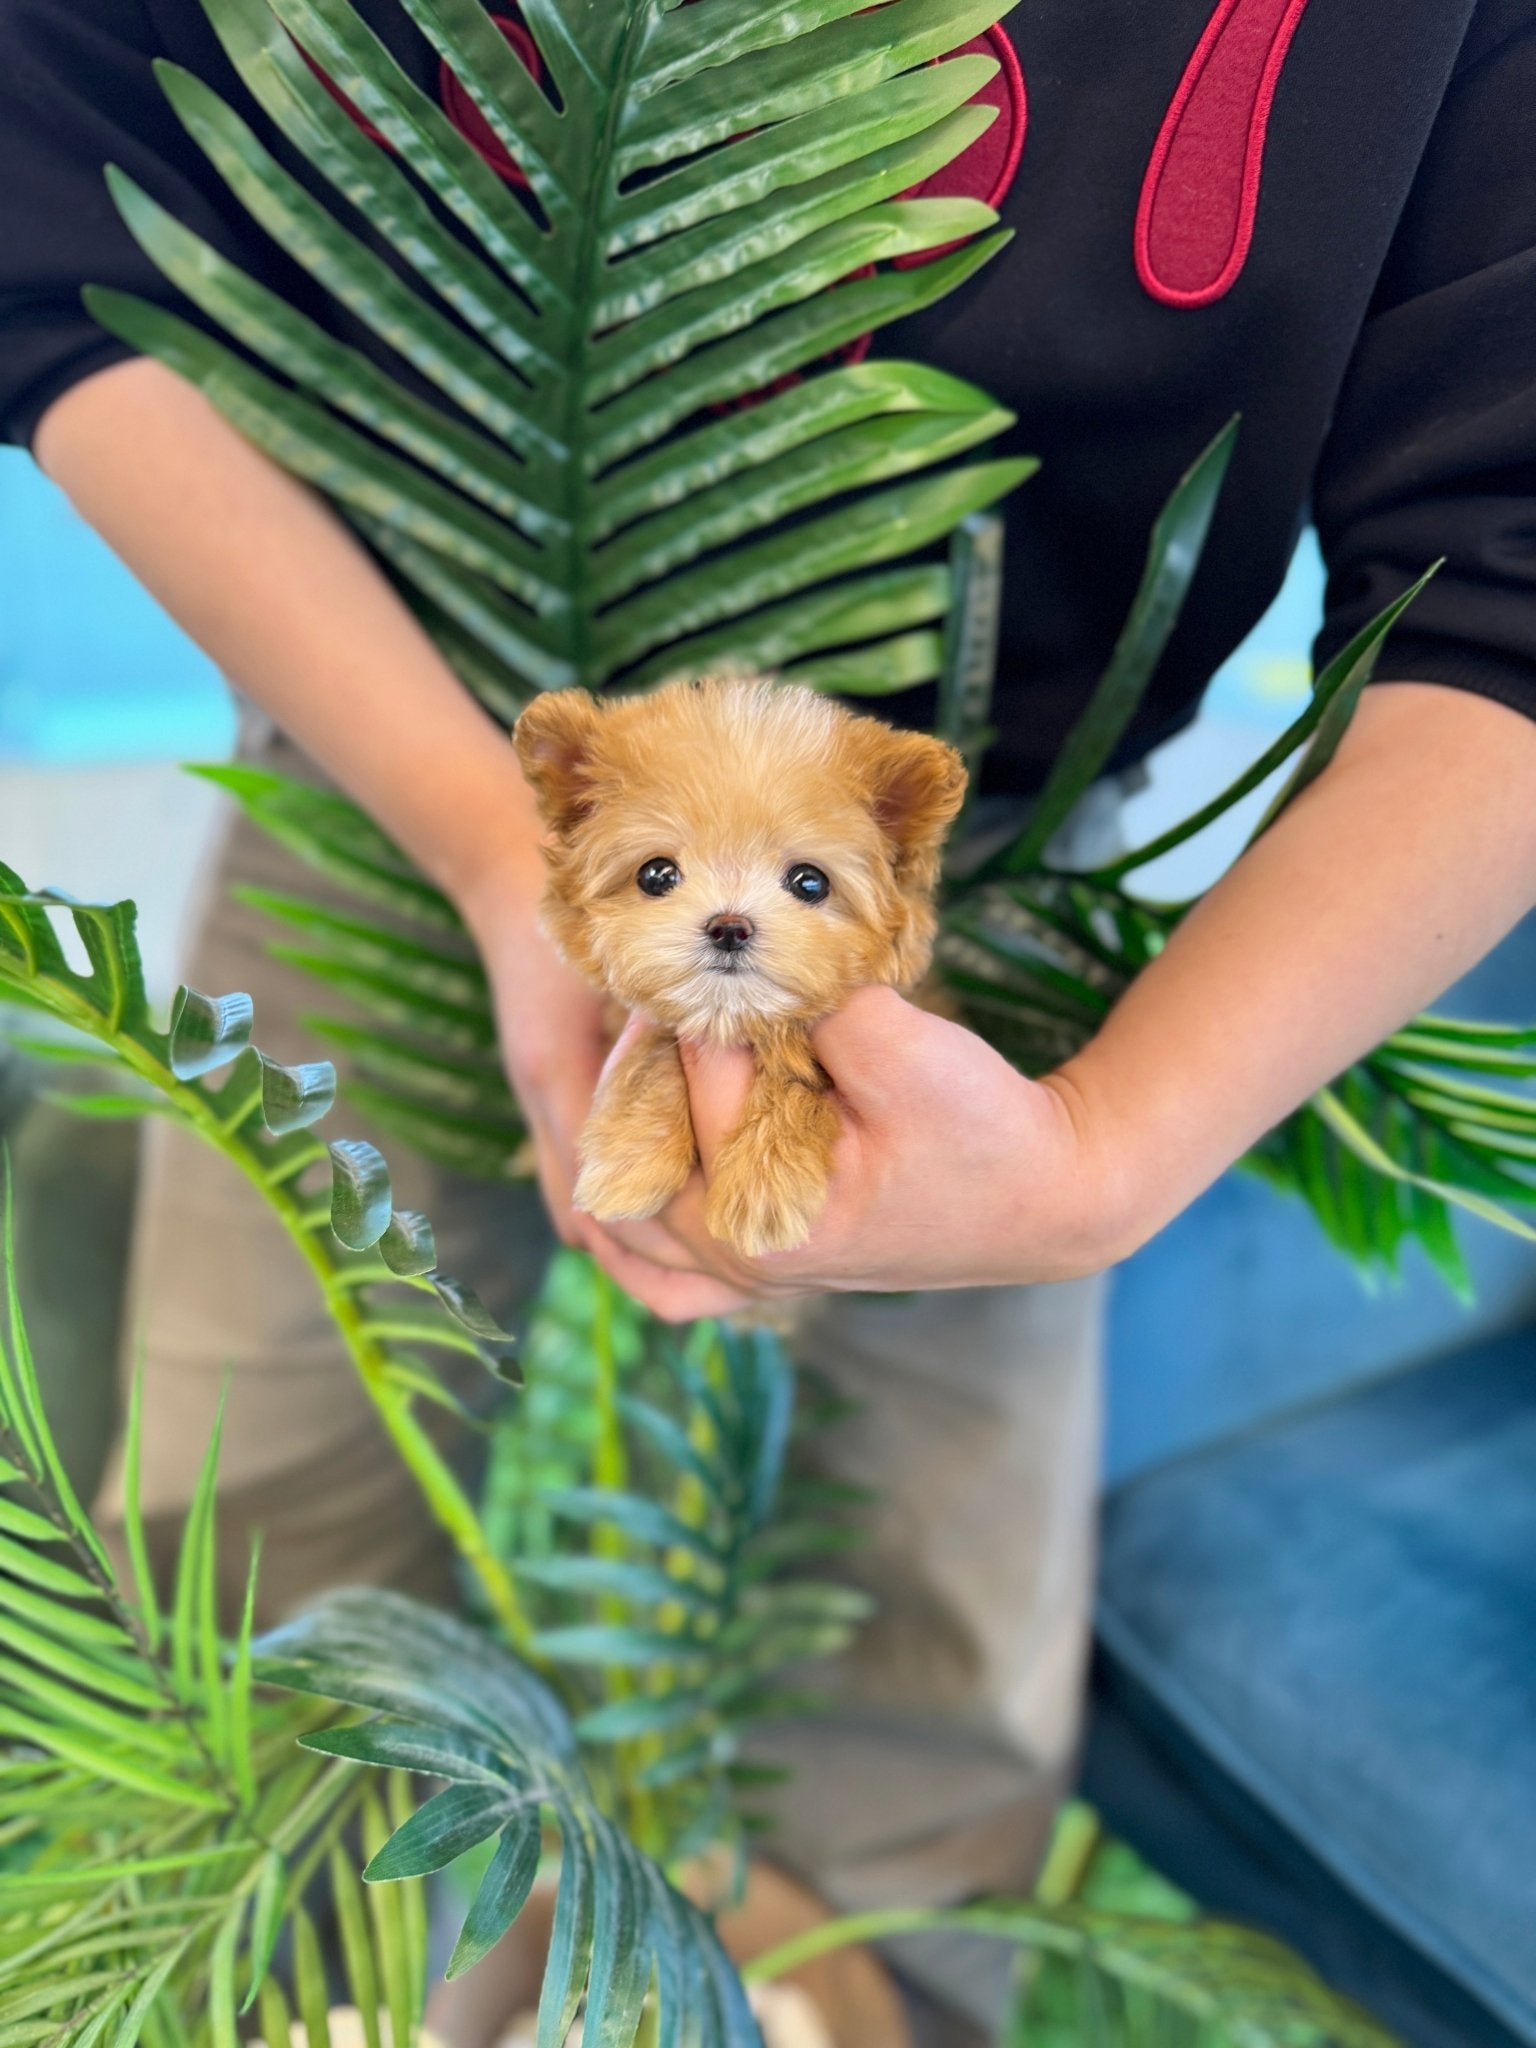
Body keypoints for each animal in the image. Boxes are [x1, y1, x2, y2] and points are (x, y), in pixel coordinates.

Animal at [518, 675, 974, 1245]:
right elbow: (654, 1048)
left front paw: (764, 1180)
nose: (729, 927)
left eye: (809, 882)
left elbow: (799, 1083)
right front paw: (629, 1155)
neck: (734, 1019)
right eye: (656, 875)